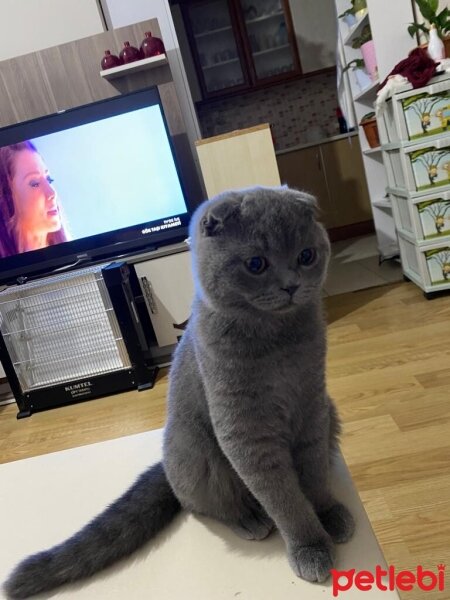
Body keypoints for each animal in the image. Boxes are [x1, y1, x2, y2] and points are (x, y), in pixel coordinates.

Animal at [3, 185, 356, 596]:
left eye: (306, 256)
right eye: (256, 264)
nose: (291, 285)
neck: (279, 342)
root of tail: (164, 461)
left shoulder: (313, 404)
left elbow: (313, 475)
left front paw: (328, 514)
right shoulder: (245, 430)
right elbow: (283, 497)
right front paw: (310, 546)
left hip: (331, 413)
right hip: (198, 451)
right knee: (204, 505)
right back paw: (249, 520)